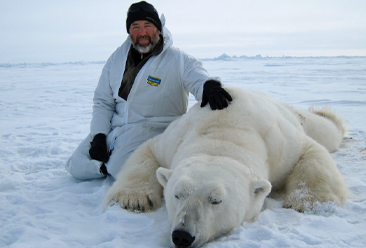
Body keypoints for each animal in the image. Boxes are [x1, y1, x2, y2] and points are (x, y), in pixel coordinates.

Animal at [104, 87, 348, 248]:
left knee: (325, 130)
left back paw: (328, 115)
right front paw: (133, 200)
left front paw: (310, 203)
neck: (226, 129)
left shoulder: (279, 143)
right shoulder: (173, 140)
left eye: (216, 200)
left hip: (295, 117)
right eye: (177, 194)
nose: (183, 235)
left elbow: (311, 151)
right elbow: (146, 151)